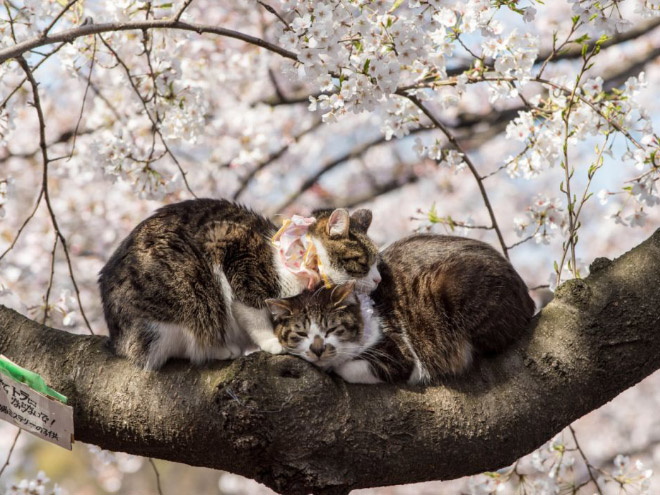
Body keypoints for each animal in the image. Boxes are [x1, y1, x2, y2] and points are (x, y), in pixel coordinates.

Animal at [95, 200, 378, 370]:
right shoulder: (233, 252)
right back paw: (219, 349)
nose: (378, 279)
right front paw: (273, 342)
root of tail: (118, 338)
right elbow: (253, 314)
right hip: (183, 301)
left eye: (377, 262)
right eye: (363, 262)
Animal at [266, 234, 536, 386]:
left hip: (452, 284)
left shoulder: (399, 353)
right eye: (301, 333)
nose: (318, 348)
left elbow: (353, 367)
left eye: (331, 328)